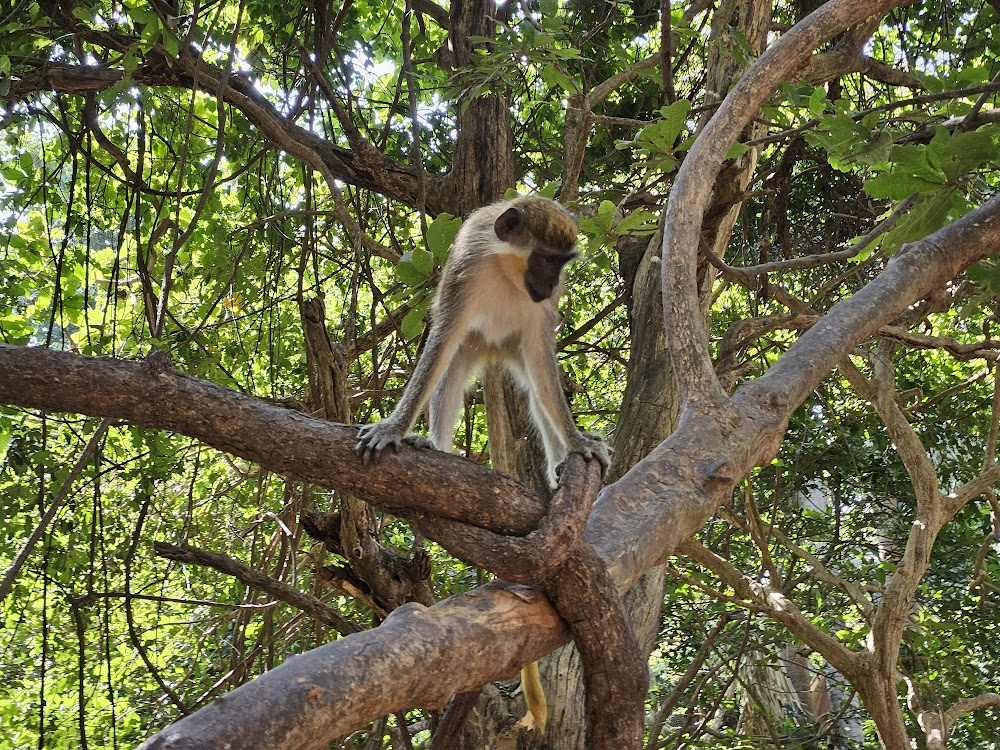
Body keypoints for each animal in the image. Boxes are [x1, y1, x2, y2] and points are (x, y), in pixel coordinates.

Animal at [356, 195, 612, 488]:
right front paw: (394, 428)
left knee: (539, 389)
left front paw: (577, 441)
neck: (504, 266)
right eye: (547, 259)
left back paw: (559, 463)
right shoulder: (467, 266)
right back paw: (436, 445)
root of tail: (494, 349)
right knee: (449, 375)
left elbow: (543, 367)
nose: (552, 285)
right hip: (472, 343)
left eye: (562, 263)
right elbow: (442, 341)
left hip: (513, 345)